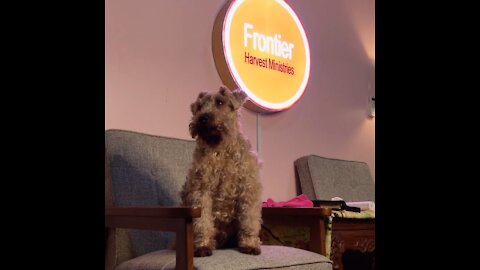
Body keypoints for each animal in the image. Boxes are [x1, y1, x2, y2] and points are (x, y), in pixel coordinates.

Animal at [180, 85, 262, 256]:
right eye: (199, 106)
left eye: (219, 102)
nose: (202, 118)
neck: (220, 148)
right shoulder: (201, 191)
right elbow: (202, 222)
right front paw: (203, 246)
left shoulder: (248, 189)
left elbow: (249, 221)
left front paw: (250, 245)